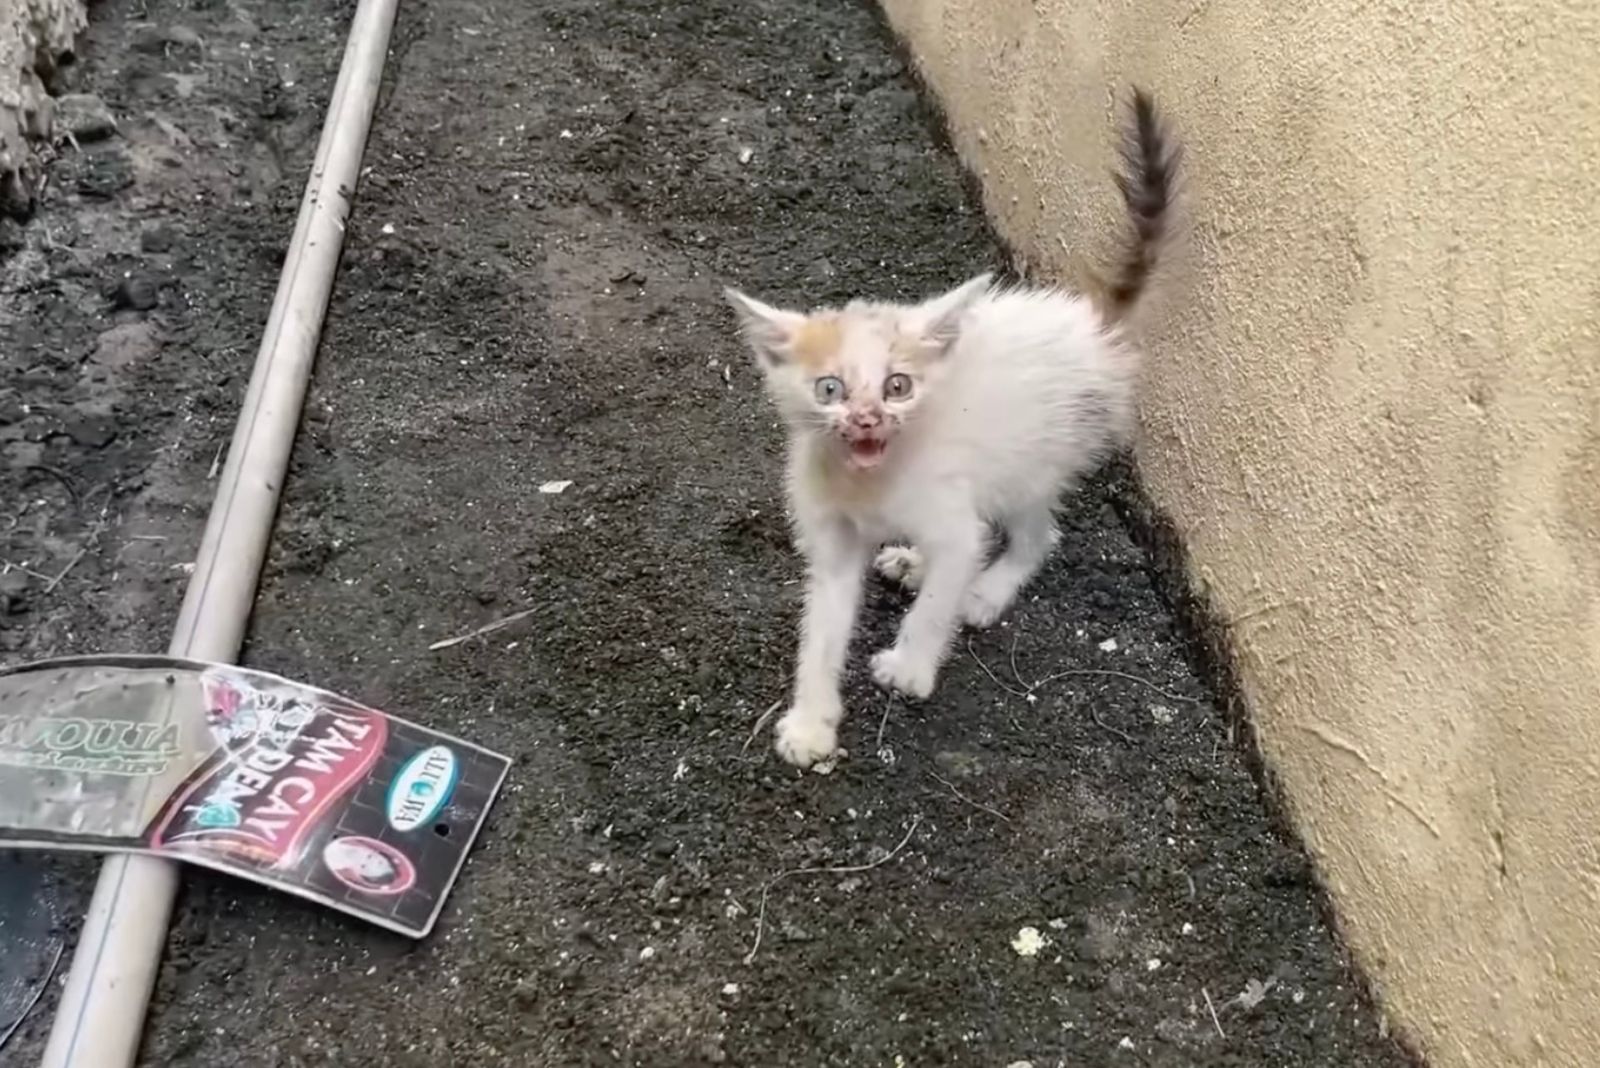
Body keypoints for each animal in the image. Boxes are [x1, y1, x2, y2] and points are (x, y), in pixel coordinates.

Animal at [726, 87, 1177, 764]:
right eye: (830, 389)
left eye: (897, 386)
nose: (866, 417)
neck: (872, 482)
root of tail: (1089, 324)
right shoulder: (833, 538)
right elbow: (823, 628)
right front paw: (811, 722)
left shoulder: (950, 512)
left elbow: (944, 588)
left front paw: (911, 666)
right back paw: (914, 561)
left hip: (1034, 460)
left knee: (1036, 535)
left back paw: (986, 590)